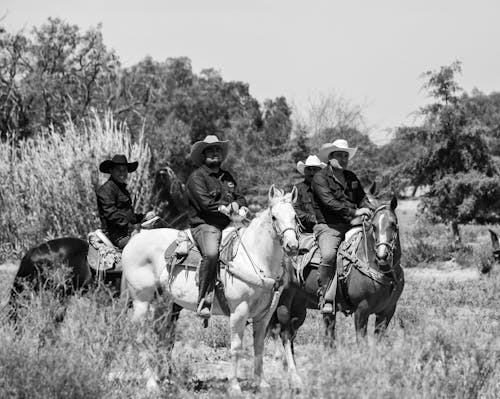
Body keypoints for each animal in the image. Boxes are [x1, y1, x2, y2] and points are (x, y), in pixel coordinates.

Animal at [122, 186, 296, 392]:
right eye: (274, 217)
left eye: (295, 216)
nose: (292, 246)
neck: (255, 257)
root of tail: (134, 240)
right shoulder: (239, 311)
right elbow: (236, 347)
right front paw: (234, 385)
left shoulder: (264, 314)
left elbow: (259, 345)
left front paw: (262, 383)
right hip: (141, 300)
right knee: (140, 337)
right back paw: (151, 383)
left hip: (162, 303)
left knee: (160, 337)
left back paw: (159, 380)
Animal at [268, 195, 404, 390]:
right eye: (373, 226)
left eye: (393, 224)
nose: (382, 255)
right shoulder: (362, 310)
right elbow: (362, 343)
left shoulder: (387, 311)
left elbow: (379, 343)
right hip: (283, 303)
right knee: (282, 333)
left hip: (299, 309)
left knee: (289, 334)